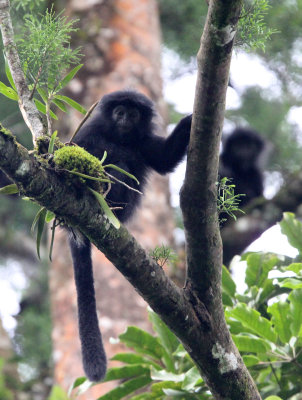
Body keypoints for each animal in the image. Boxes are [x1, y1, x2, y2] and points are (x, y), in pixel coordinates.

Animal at [68, 90, 191, 382]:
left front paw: (191, 120)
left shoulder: (143, 142)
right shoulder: (91, 130)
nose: (124, 119)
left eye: (133, 114)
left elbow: (164, 159)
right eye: (119, 112)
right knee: (115, 164)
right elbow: (76, 149)